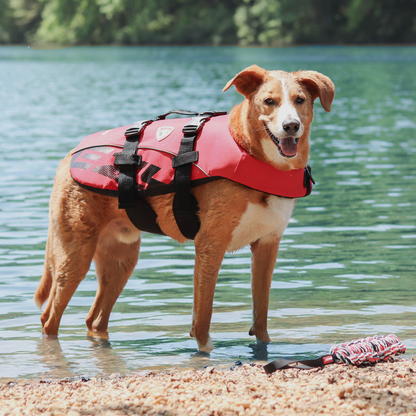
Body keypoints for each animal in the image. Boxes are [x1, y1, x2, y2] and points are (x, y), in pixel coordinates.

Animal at [35, 65, 334, 352]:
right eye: (269, 101)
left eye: (299, 100)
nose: (291, 126)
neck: (254, 156)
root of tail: (70, 155)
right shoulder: (210, 245)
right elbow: (203, 317)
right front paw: (204, 353)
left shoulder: (266, 247)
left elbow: (261, 318)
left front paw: (264, 351)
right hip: (75, 256)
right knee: (49, 318)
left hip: (121, 259)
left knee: (94, 319)